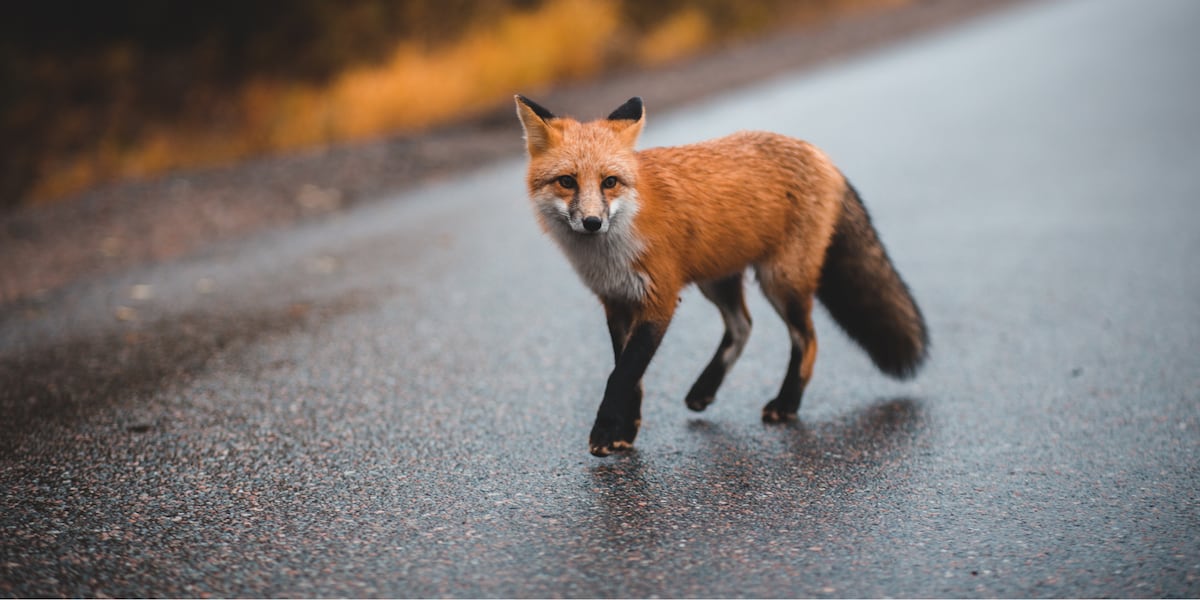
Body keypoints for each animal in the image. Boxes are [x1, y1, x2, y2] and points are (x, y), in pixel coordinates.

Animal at [515, 95, 928, 457]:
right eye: (567, 181)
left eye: (609, 182)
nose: (592, 222)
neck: (613, 249)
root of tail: (818, 154)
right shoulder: (616, 302)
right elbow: (630, 375)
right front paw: (626, 430)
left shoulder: (660, 299)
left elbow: (622, 375)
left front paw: (604, 432)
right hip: (717, 280)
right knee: (743, 326)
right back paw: (705, 388)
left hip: (780, 281)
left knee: (807, 339)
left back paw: (787, 403)